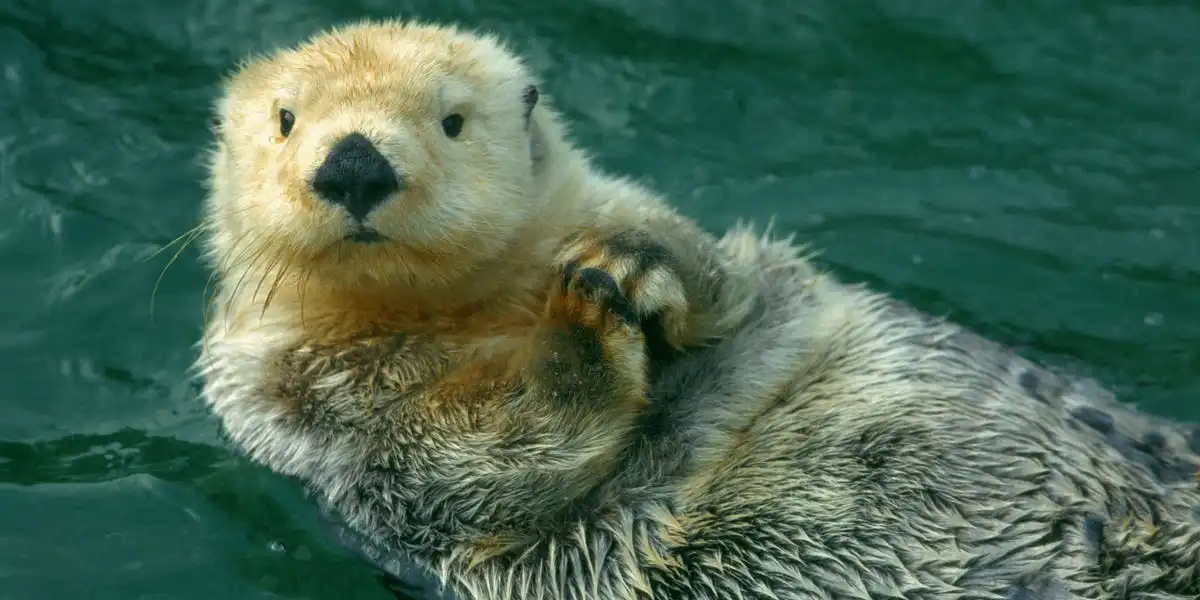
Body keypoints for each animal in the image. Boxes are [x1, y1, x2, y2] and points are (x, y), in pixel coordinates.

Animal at [192, 18, 1195, 600]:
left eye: (451, 120)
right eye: (286, 119)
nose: (355, 162)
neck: (467, 314)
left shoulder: (694, 255)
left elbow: (725, 282)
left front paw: (627, 265)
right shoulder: (300, 405)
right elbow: (476, 460)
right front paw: (583, 326)